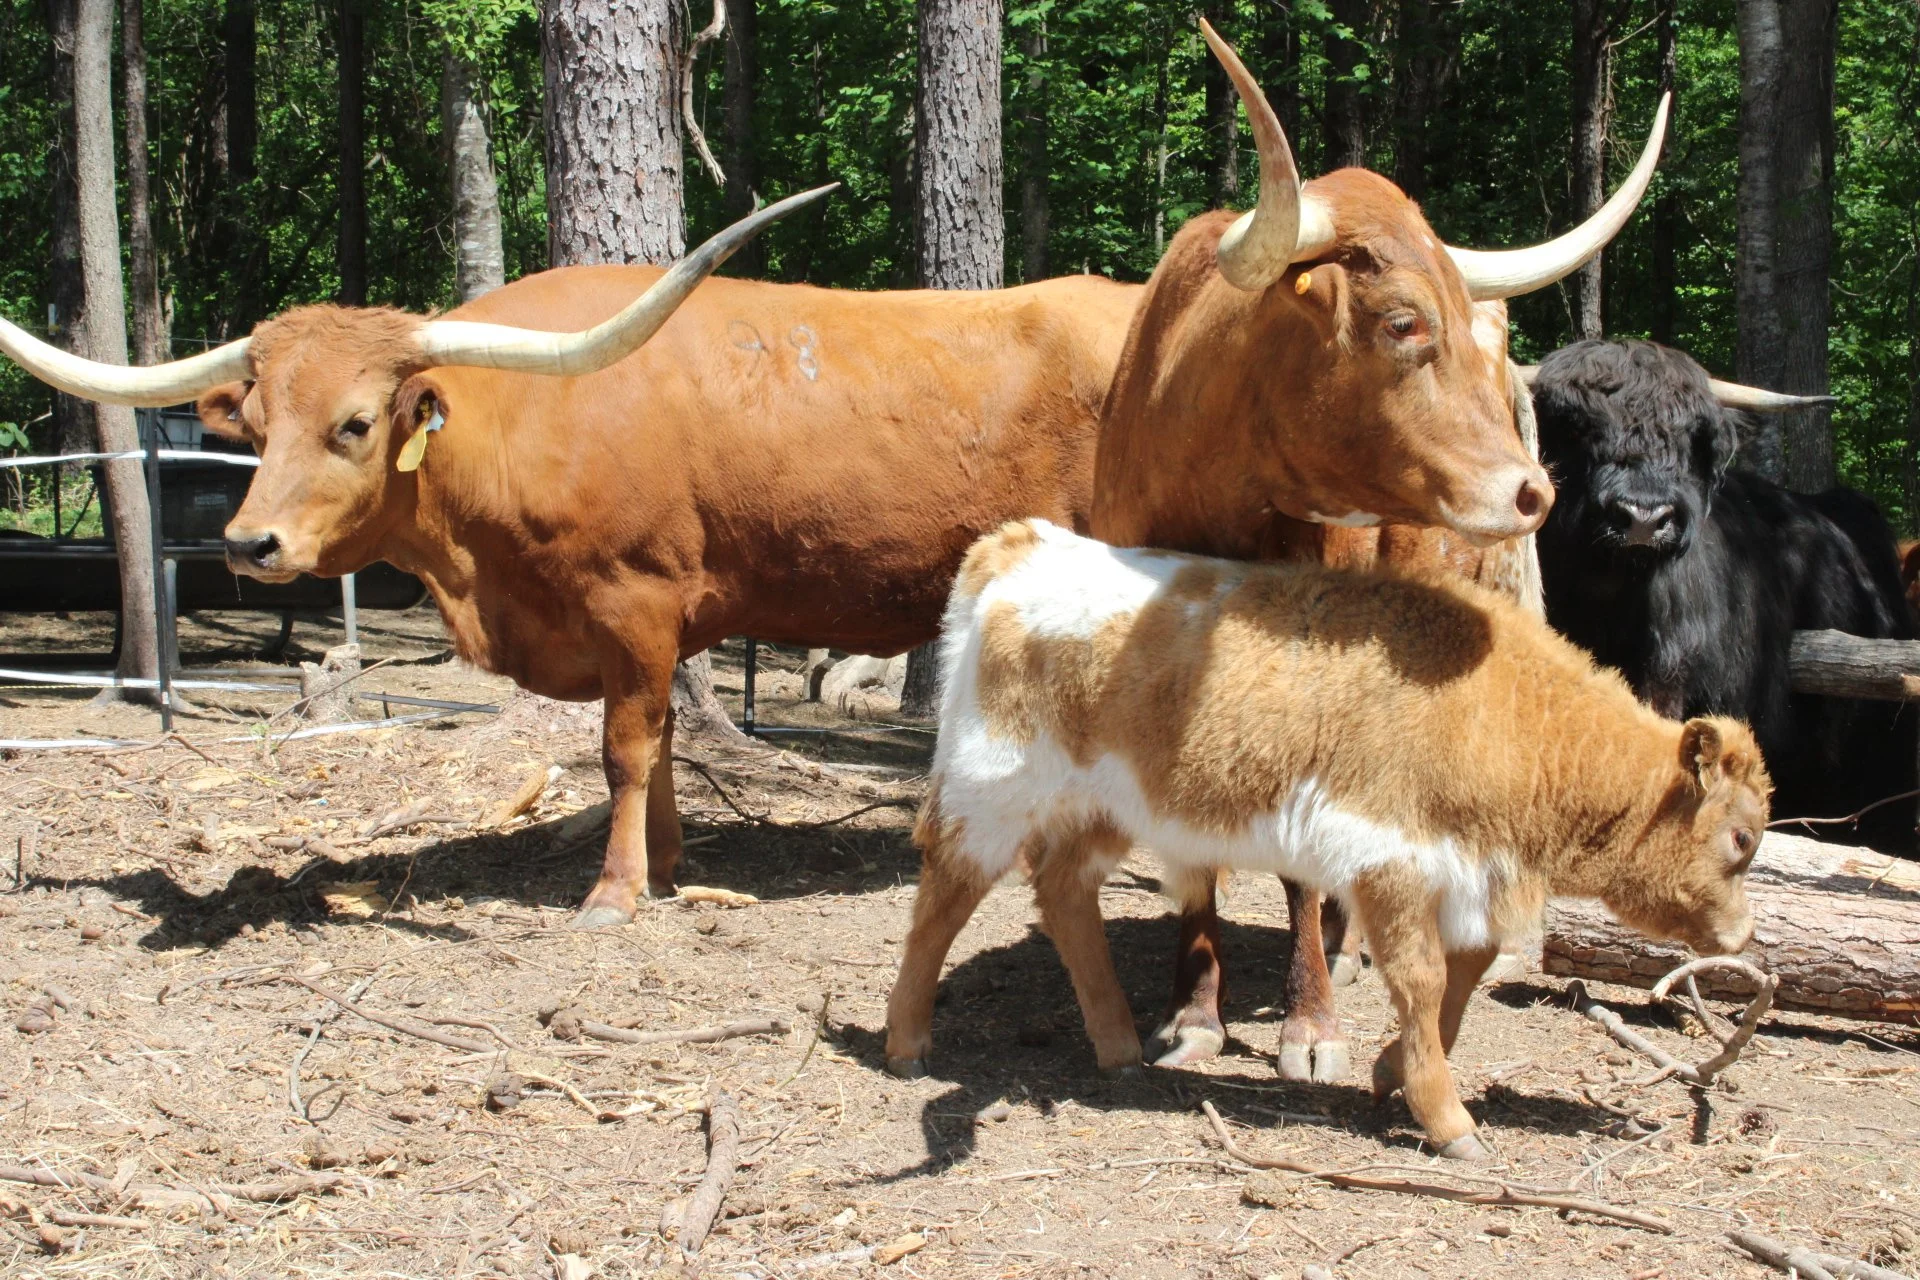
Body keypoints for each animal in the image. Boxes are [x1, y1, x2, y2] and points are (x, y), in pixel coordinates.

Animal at [0, 191, 1142, 927]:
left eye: (356, 424)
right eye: (257, 423)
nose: (248, 543)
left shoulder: (635, 603)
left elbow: (624, 748)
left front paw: (615, 890)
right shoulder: (655, 624)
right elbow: (666, 739)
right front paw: (670, 864)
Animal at [884, 518, 1768, 1159]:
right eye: (1741, 839)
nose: (1741, 937)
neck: (1498, 710)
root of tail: (1020, 544)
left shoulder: (1466, 872)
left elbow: (1465, 971)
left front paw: (1393, 1072)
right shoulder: (1390, 857)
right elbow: (1420, 978)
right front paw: (1449, 1121)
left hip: (1104, 810)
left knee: (1065, 894)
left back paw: (1119, 1046)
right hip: (991, 785)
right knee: (944, 893)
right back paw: (906, 1040)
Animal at [1083, 22, 1668, 1081]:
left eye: (1474, 332)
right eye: (1402, 321)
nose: (1532, 491)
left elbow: (1300, 863)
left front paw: (1310, 1025)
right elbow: (1191, 853)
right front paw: (1193, 1011)